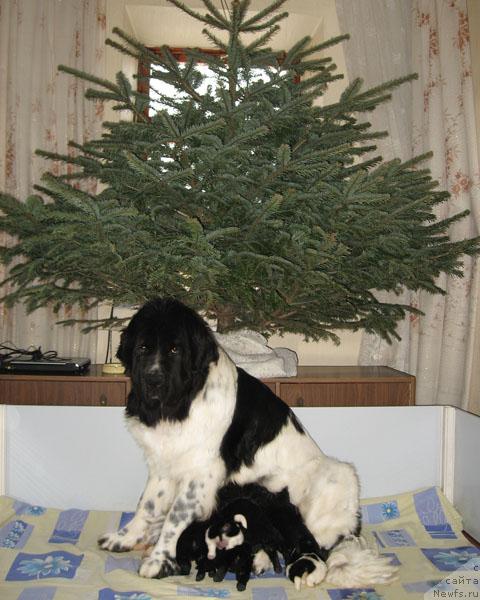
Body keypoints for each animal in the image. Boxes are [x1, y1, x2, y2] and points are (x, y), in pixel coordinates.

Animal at [98, 298, 398, 588]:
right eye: (143, 348)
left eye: (175, 350)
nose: (153, 380)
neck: (181, 403)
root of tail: (353, 529)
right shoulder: (162, 464)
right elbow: (147, 504)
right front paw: (125, 537)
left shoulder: (200, 475)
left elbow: (174, 516)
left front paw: (159, 560)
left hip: (336, 475)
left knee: (320, 544)